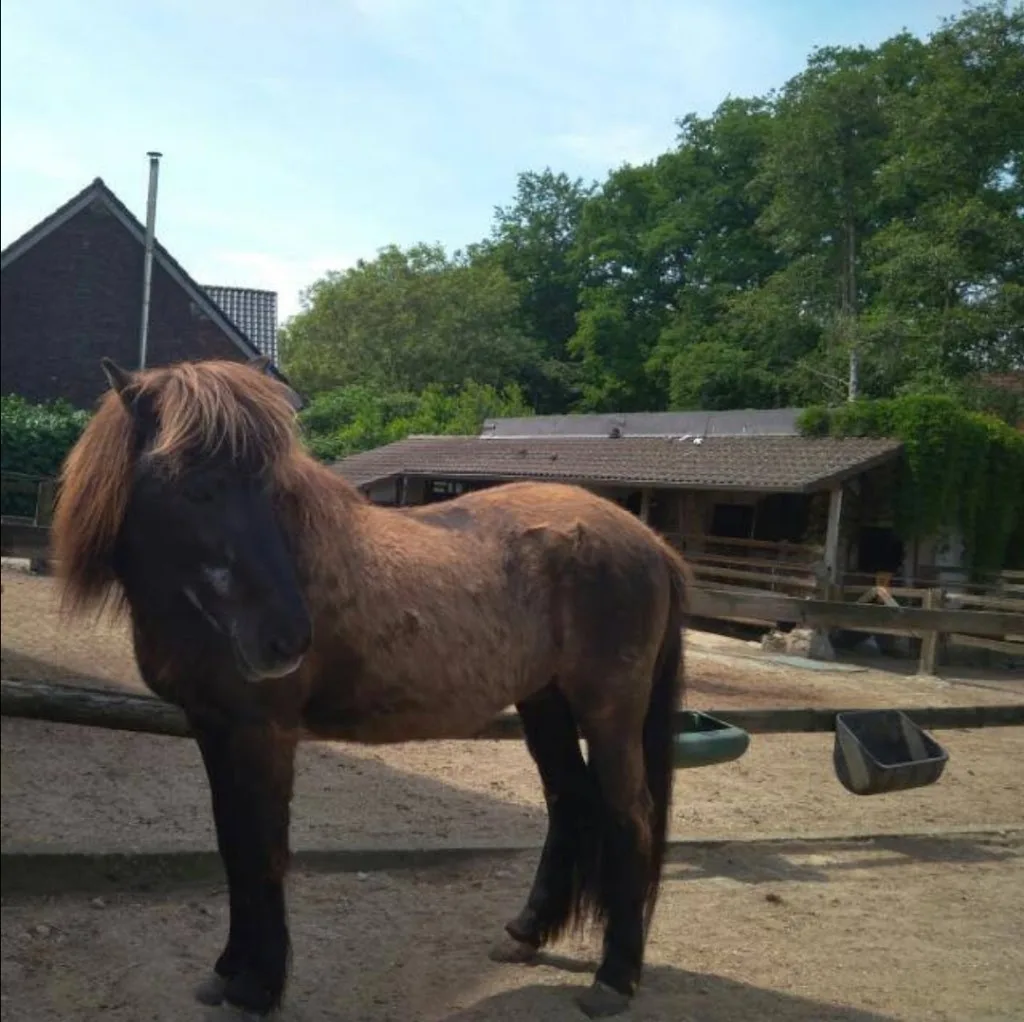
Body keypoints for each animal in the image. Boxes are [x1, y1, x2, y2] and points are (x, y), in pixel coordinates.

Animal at [50, 356, 691, 1019]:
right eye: (195, 485)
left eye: (270, 487)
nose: (287, 638)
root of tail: (650, 541)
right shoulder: (212, 726)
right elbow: (233, 845)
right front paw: (228, 970)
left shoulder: (263, 733)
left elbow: (263, 850)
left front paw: (257, 986)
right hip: (545, 702)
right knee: (570, 800)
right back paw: (526, 933)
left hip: (609, 710)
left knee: (631, 817)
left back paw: (615, 978)